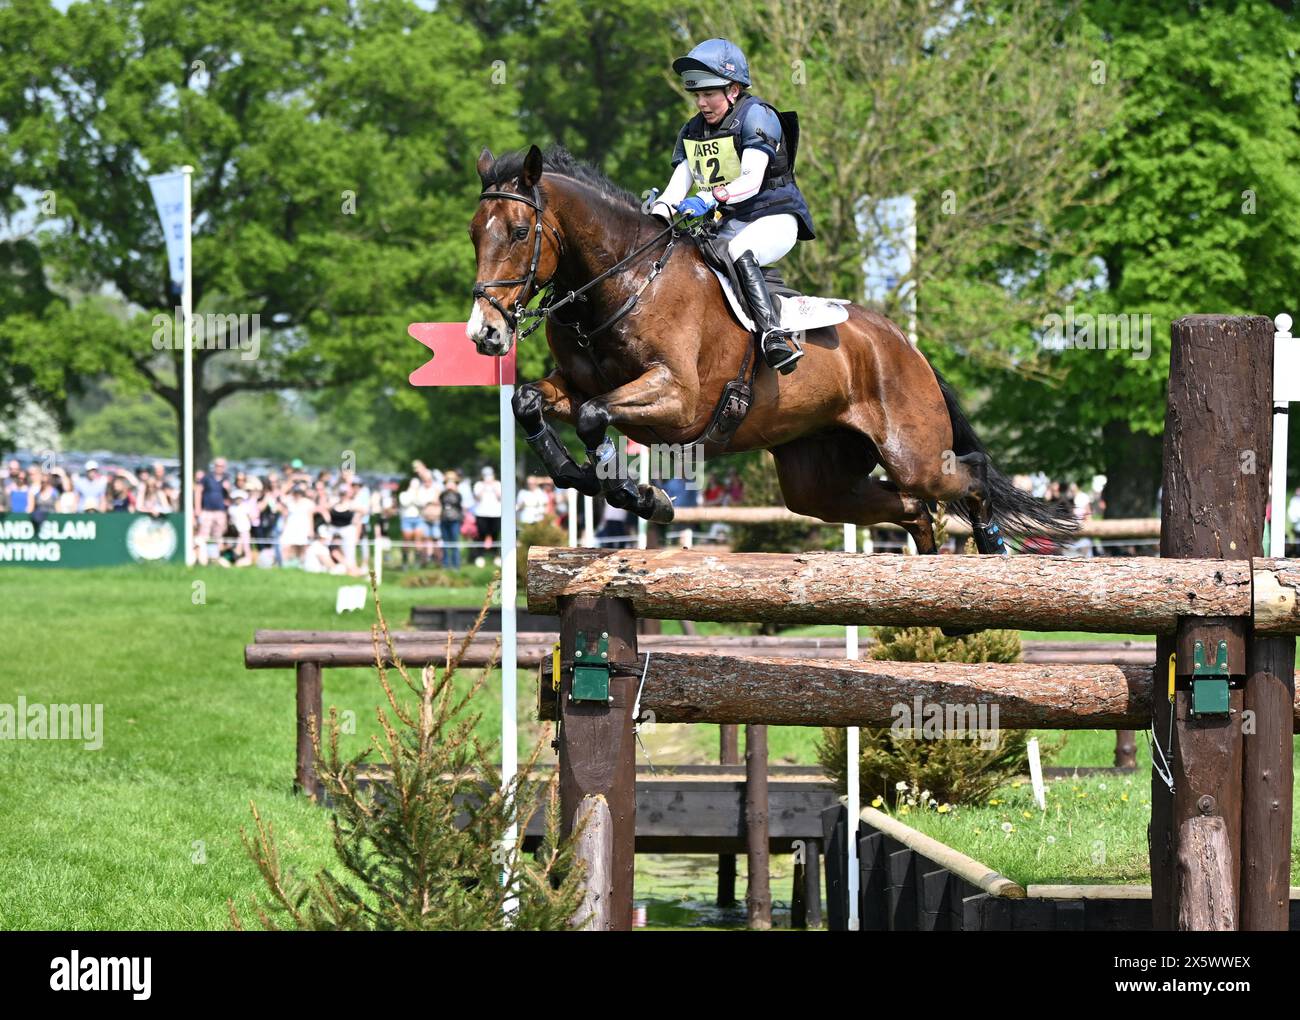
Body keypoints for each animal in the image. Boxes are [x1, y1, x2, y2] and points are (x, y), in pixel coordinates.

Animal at [467, 142, 1076, 553]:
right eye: (475, 233)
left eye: (519, 232)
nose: (485, 333)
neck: (621, 279)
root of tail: (906, 345)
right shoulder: (576, 386)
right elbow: (529, 401)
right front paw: (585, 478)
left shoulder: (679, 402)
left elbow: (595, 416)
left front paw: (639, 495)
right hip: (819, 483)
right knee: (911, 509)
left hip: (913, 453)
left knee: (966, 476)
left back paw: (991, 550)